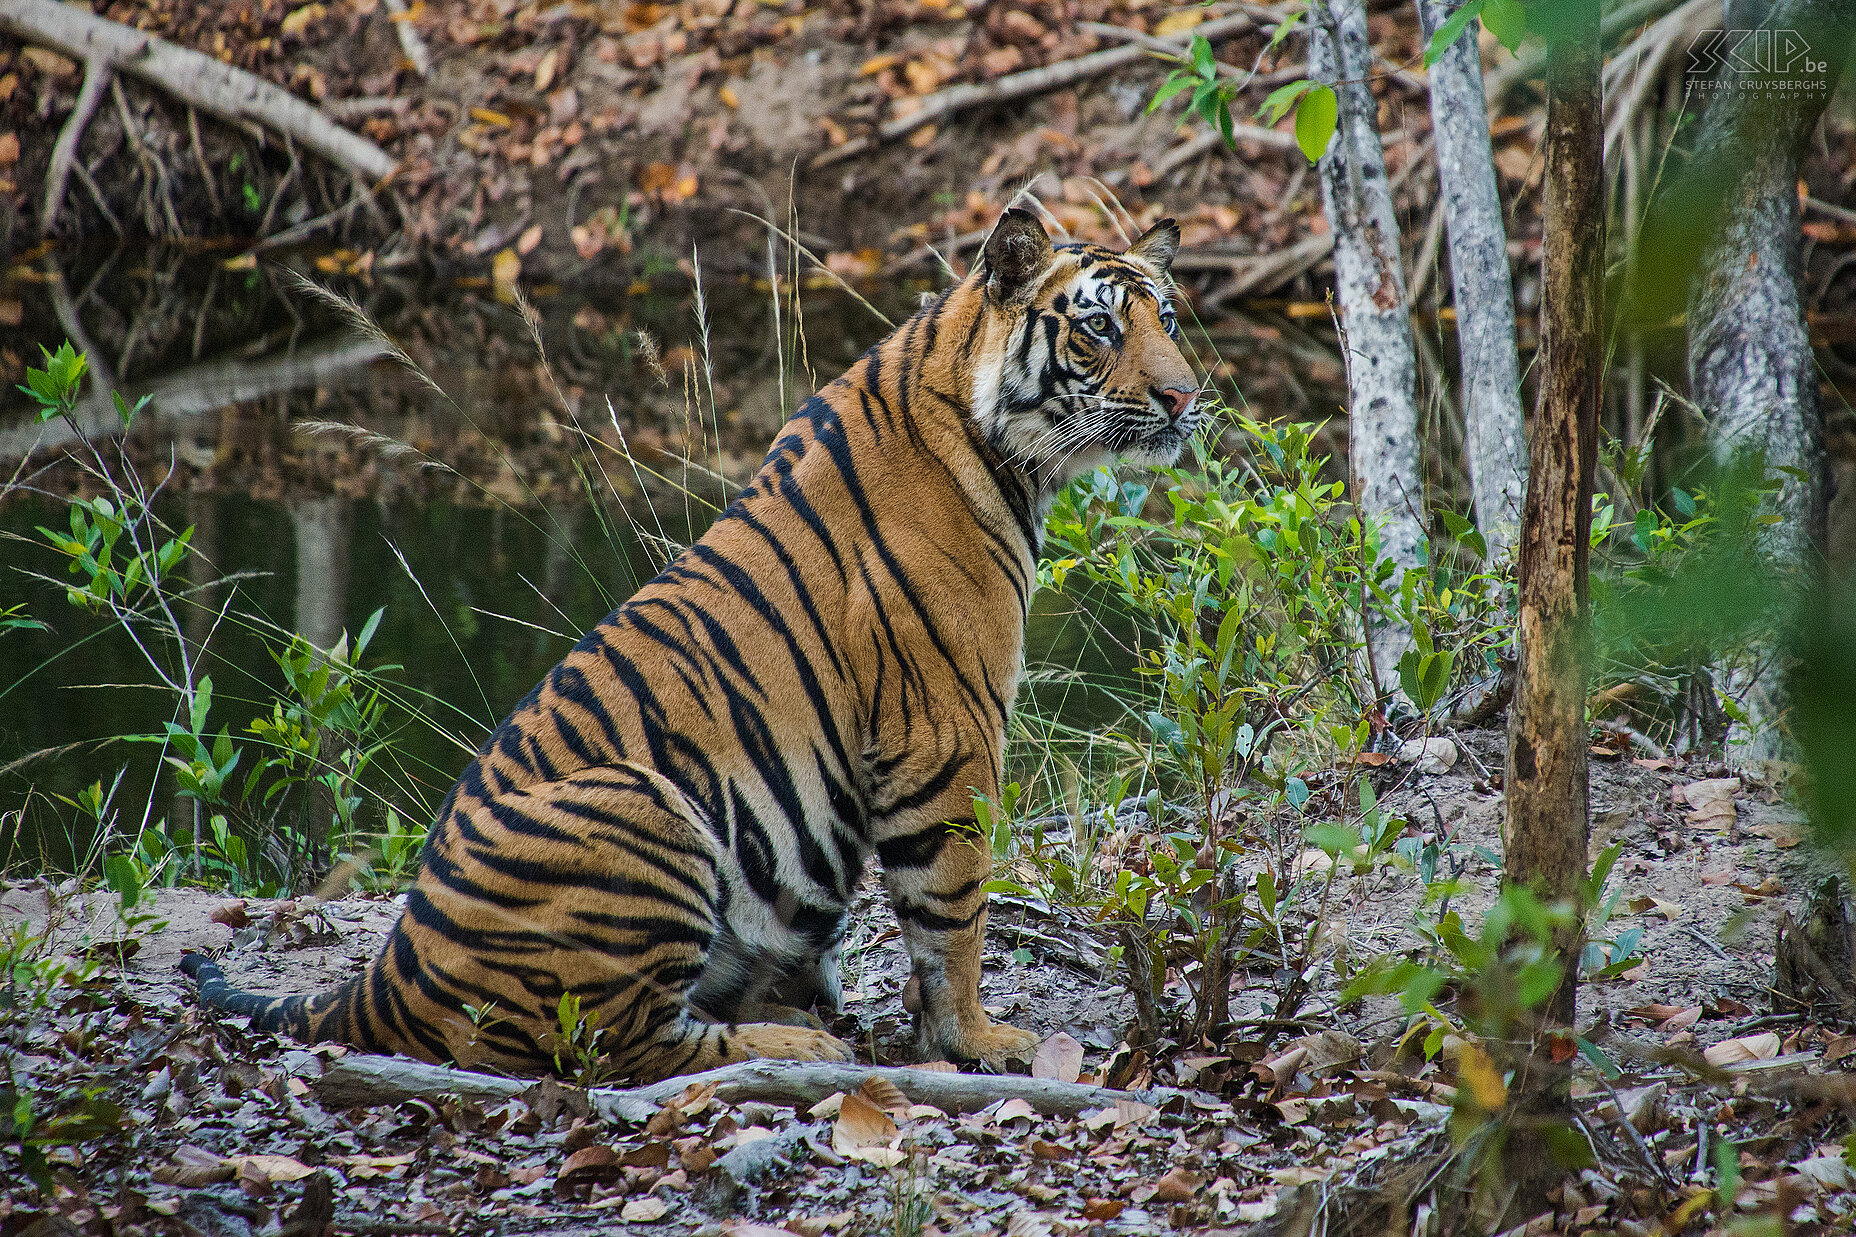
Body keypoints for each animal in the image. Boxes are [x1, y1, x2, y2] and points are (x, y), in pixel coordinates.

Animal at [184, 207, 1202, 1077]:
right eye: (1100, 328)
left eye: (1168, 318)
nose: (1187, 397)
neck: (1003, 444)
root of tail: (382, 974)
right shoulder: (947, 732)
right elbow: (954, 910)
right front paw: (977, 1039)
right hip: (645, 806)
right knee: (631, 1045)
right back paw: (798, 1044)